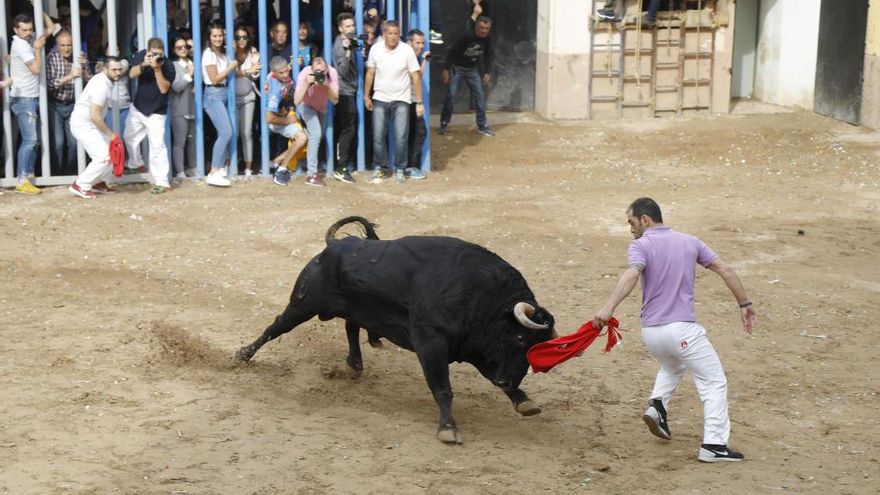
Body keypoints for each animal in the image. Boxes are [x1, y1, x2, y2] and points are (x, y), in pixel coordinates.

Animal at [235, 215, 556, 444]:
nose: (506, 381)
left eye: (534, 349)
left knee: (351, 325)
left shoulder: (476, 348)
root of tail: (333, 246)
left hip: (356, 307)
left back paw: (355, 363)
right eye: (519, 338)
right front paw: (448, 428)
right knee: (276, 326)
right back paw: (243, 355)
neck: (483, 297)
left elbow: (490, 378)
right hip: (303, 303)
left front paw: (524, 402)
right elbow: (443, 388)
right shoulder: (431, 344)